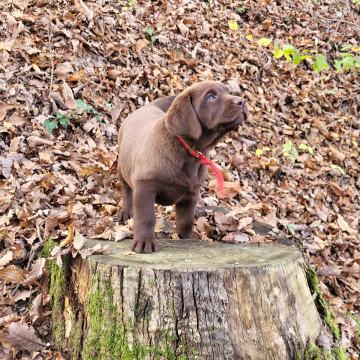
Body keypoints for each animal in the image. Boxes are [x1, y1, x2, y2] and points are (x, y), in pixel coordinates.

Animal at [118, 81, 248, 253]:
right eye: (210, 97)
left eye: (228, 91)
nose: (242, 101)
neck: (189, 152)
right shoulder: (144, 186)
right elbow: (146, 217)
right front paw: (144, 241)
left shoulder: (191, 194)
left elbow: (186, 220)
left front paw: (185, 238)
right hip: (121, 165)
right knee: (126, 190)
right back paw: (126, 212)